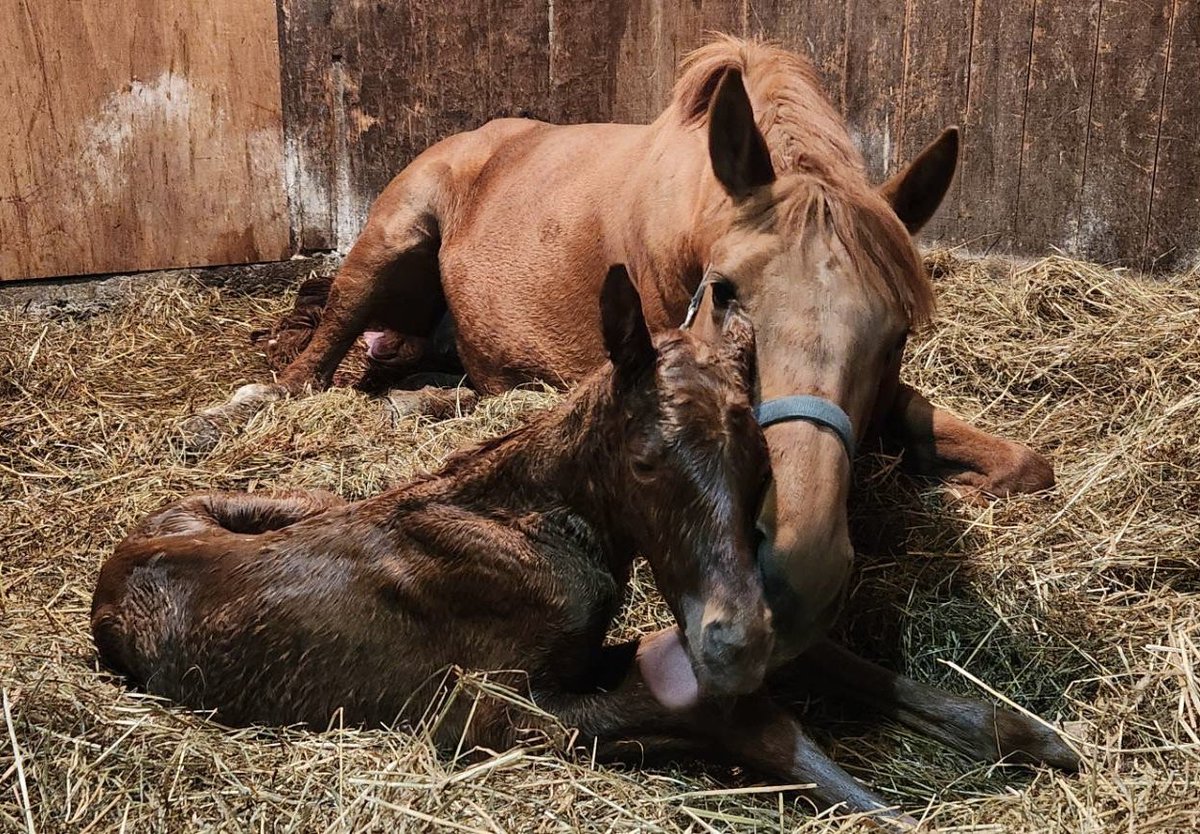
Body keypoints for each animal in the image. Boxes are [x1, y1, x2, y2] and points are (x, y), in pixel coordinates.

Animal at [96, 269, 1076, 826]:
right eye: (646, 462)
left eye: (761, 459)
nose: (737, 639)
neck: (539, 524)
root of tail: (118, 565)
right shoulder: (481, 711)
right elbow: (728, 714)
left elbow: (822, 662)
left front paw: (1025, 734)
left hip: (294, 498)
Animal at [182, 35, 1055, 662]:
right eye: (726, 292)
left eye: (898, 329)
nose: (800, 569)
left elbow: (1026, 463)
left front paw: (964, 487)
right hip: (390, 239)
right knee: (314, 367)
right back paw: (242, 411)